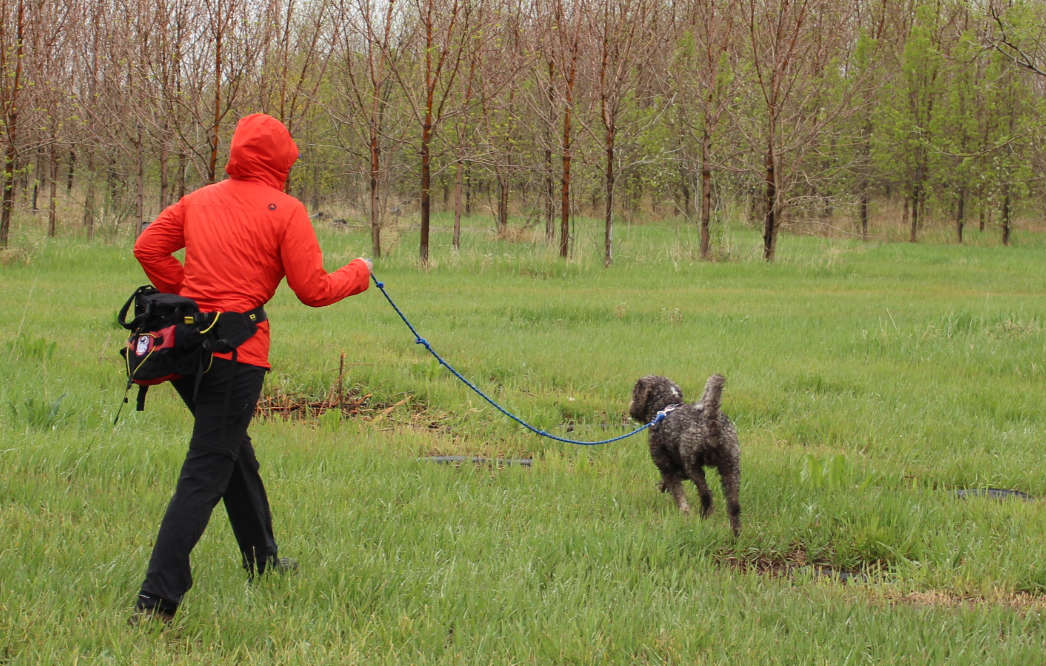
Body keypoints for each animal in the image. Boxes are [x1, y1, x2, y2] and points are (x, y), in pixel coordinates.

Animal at [623, 374, 740, 535]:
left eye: (635, 392)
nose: (631, 409)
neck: (665, 405)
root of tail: (712, 424)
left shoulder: (666, 466)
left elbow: (678, 493)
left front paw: (684, 513)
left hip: (693, 464)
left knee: (706, 496)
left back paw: (703, 518)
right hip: (731, 466)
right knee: (734, 506)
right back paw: (735, 534)